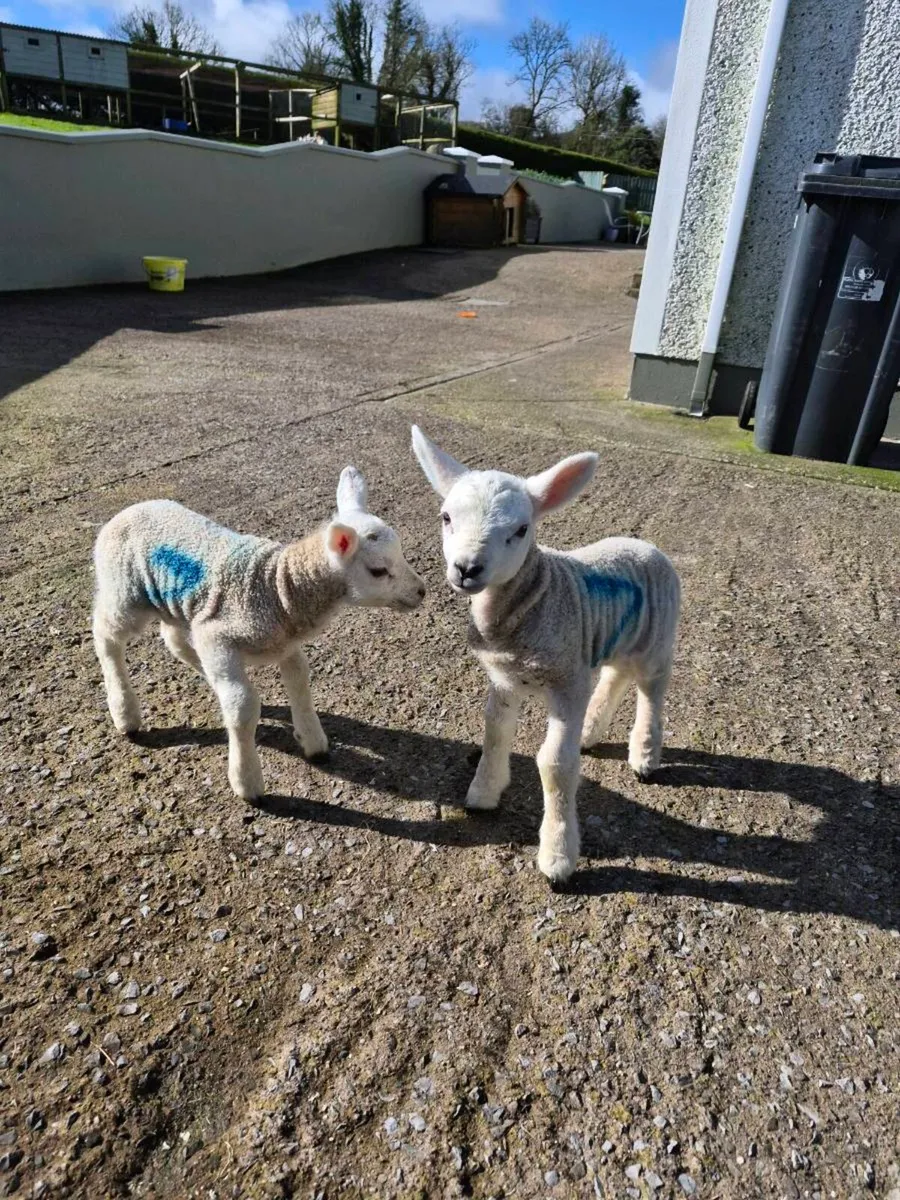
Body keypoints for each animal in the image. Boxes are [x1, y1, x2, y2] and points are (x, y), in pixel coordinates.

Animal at [92, 467, 425, 800]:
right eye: (378, 571)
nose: (421, 591)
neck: (279, 586)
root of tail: (123, 514)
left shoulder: (283, 641)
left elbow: (299, 680)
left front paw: (312, 740)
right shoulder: (219, 635)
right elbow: (242, 706)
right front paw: (246, 781)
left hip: (176, 603)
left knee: (174, 640)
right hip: (126, 593)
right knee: (106, 634)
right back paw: (125, 712)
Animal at [411, 426, 680, 886]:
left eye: (521, 529)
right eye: (446, 517)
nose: (467, 569)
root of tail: (648, 547)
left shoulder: (566, 682)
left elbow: (554, 764)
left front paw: (557, 856)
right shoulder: (504, 679)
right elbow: (495, 732)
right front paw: (483, 793)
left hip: (656, 642)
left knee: (651, 693)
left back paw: (644, 757)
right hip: (610, 639)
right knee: (615, 676)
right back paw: (590, 731)